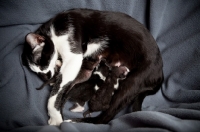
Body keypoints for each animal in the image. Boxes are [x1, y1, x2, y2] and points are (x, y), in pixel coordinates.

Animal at [21, 8, 163, 126]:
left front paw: (55, 117)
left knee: (105, 118)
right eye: (37, 72)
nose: (46, 75)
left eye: (40, 61)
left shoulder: (74, 57)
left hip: (131, 83)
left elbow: (55, 94)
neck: (52, 31)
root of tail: (160, 74)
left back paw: (74, 121)